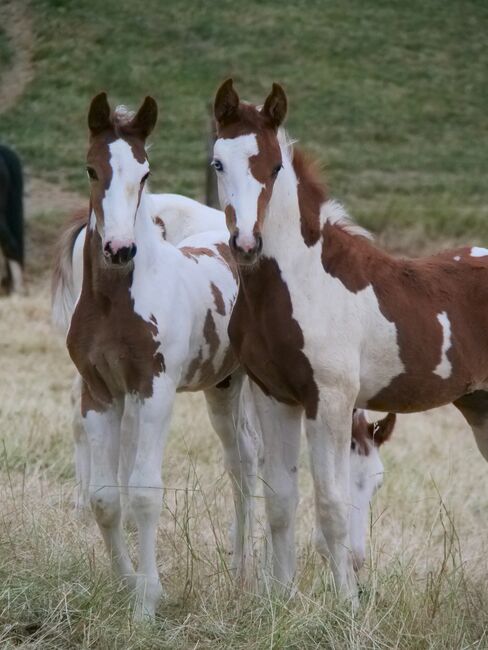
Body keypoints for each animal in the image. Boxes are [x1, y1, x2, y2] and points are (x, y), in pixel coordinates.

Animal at [214, 79, 488, 604]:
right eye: (218, 162)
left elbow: (331, 507)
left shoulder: (331, 400)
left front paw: (347, 606)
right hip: (479, 406)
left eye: (274, 166)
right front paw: (282, 601)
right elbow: (281, 501)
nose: (246, 244)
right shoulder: (274, 396)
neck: (301, 281)